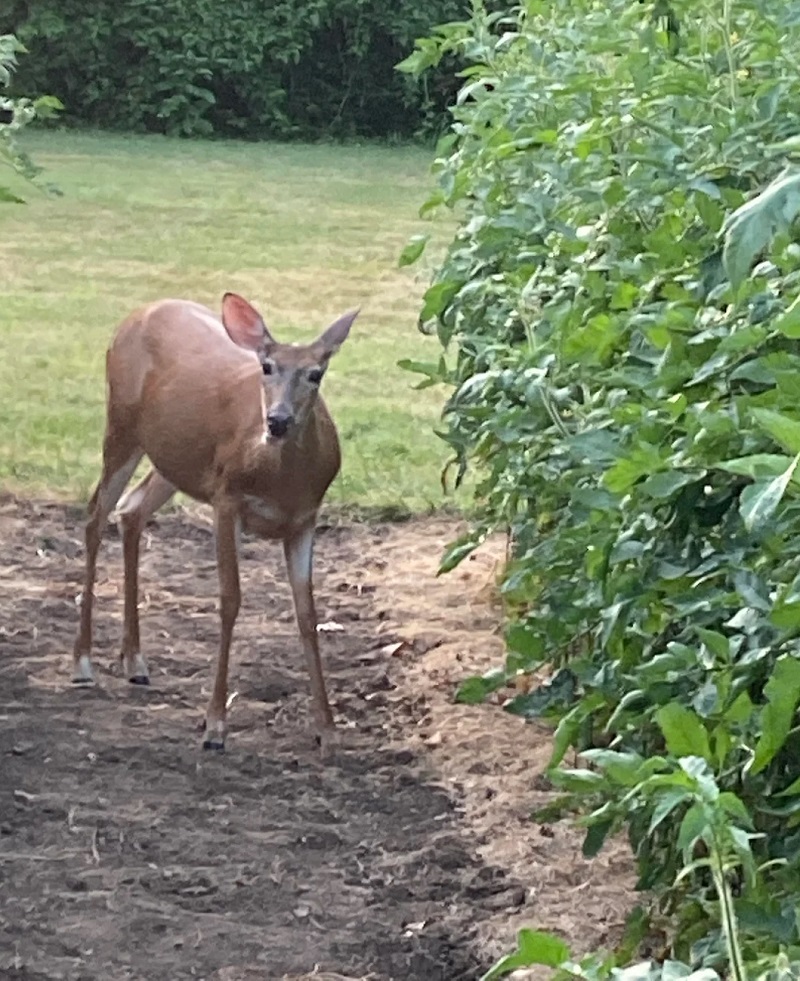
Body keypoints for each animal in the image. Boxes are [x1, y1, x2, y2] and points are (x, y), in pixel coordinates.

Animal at [70, 292, 358, 756]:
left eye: (316, 373)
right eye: (266, 366)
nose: (278, 421)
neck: (279, 480)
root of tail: (139, 313)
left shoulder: (305, 519)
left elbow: (307, 613)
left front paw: (328, 730)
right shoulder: (226, 499)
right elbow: (230, 600)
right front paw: (215, 725)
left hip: (173, 458)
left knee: (131, 510)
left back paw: (135, 661)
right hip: (120, 424)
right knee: (96, 514)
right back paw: (82, 662)